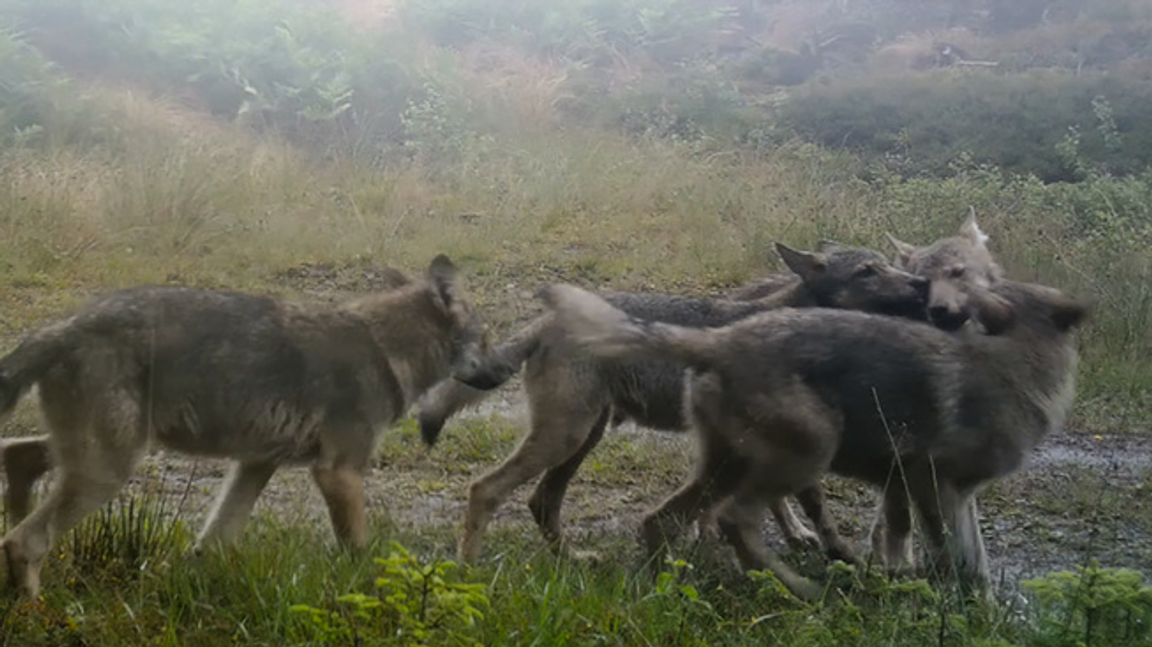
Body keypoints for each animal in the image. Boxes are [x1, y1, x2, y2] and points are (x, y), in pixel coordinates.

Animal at [0, 254, 509, 598]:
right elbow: (359, 551)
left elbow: (215, 540)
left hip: (101, 453)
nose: (507, 370)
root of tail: (64, 325)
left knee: (18, 458)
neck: (385, 347)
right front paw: (370, 594)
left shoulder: (256, 463)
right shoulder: (338, 473)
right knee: (23, 539)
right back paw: (36, 609)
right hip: (111, 467)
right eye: (486, 339)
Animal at [419, 240, 930, 559]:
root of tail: (548, 319)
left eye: (888, 262)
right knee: (485, 490)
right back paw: (469, 570)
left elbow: (775, 501)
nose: (922, 284)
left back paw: (574, 560)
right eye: (868, 271)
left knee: (541, 504)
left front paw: (789, 536)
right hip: (565, 437)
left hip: (582, 439)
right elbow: (812, 503)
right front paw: (835, 550)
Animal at [543, 269, 1082, 598]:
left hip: (727, 465)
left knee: (662, 519)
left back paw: (675, 580)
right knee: (734, 518)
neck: (1012, 366)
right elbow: (951, 558)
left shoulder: (949, 492)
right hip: (807, 453)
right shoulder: (933, 484)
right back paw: (795, 588)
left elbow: (970, 561)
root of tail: (719, 339)